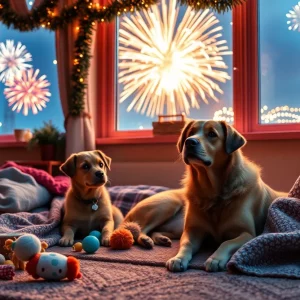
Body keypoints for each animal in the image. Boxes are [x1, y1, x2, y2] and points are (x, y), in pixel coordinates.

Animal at [123, 119, 286, 272]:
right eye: (190, 133)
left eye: (212, 134)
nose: (190, 142)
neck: (211, 189)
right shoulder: (192, 231)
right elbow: (186, 244)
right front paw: (179, 258)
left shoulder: (246, 233)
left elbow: (226, 242)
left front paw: (215, 259)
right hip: (168, 205)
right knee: (140, 228)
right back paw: (146, 239)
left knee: (154, 230)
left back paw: (161, 239)